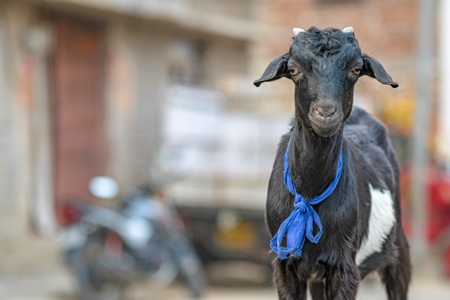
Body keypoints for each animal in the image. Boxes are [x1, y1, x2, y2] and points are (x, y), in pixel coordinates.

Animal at [253, 27, 412, 298]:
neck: (309, 192)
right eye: (293, 69)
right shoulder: (285, 265)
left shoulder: (344, 264)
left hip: (398, 248)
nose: (325, 113)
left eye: (356, 69)